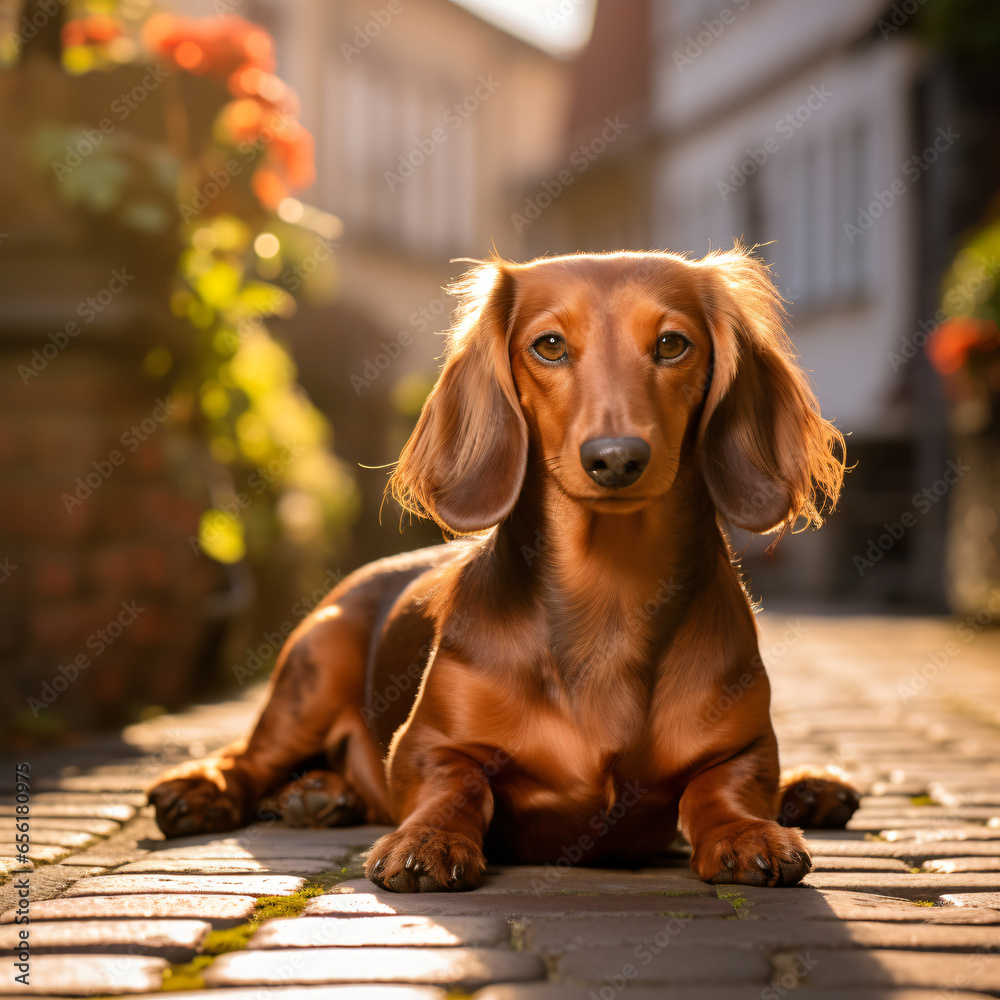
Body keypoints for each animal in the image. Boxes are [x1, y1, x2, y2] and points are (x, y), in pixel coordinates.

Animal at [150, 248, 860, 892]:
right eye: (548, 345)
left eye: (671, 344)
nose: (616, 458)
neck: (610, 592)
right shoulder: (430, 744)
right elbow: (456, 785)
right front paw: (430, 841)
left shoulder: (743, 748)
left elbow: (722, 787)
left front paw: (748, 831)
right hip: (316, 663)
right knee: (246, 757)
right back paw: (215, 791)